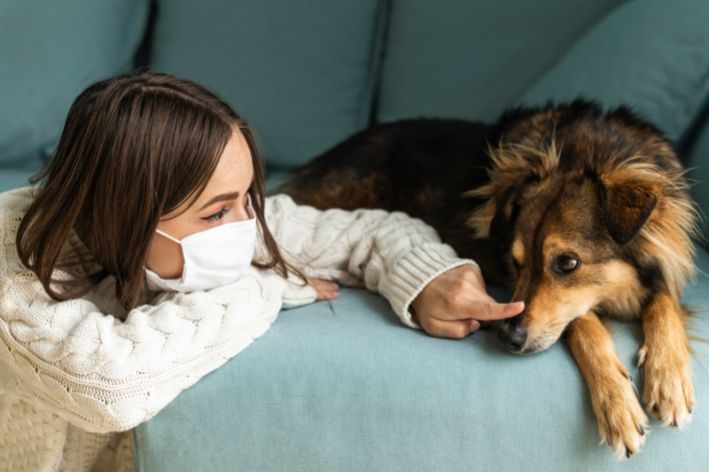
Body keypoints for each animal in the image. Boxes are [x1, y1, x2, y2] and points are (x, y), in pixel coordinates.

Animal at [276, 99, 696, 458]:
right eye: (515, 261)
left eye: (568, 263)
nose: (508, 338)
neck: (587, 148)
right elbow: (583, 324)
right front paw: (617, 404)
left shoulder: (663, 268)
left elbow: (664, 302)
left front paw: (669, 377)